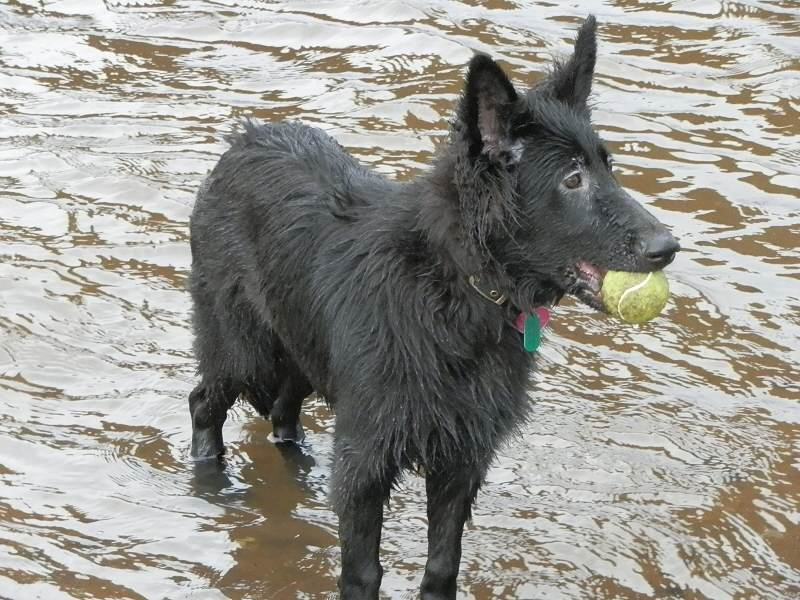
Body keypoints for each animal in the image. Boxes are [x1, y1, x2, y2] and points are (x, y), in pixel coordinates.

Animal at [186, 15, 676, 600]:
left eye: (608, 167)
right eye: (572, 179)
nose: (668, 247)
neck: (457, 288)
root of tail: (244, 139)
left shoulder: (462, 459)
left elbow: (443, 563)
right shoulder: (369, 458)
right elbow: (363, 571)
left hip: (302, 347)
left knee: (284, 412)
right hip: (244, 348)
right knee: (204, 403)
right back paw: (211, 479)